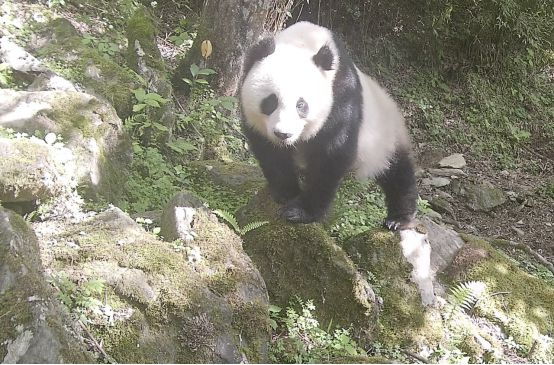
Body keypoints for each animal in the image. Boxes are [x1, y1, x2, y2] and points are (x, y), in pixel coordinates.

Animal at [239, 21, 416, 229]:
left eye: (301, 105)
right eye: (270, 102)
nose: (283, 134)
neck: (303, 41)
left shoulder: (341, 94)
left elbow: (331, 152)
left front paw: (300, 212)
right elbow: (270, 152)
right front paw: (286, 193)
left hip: (384, 136)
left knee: (397, 172)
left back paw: (399, 218)